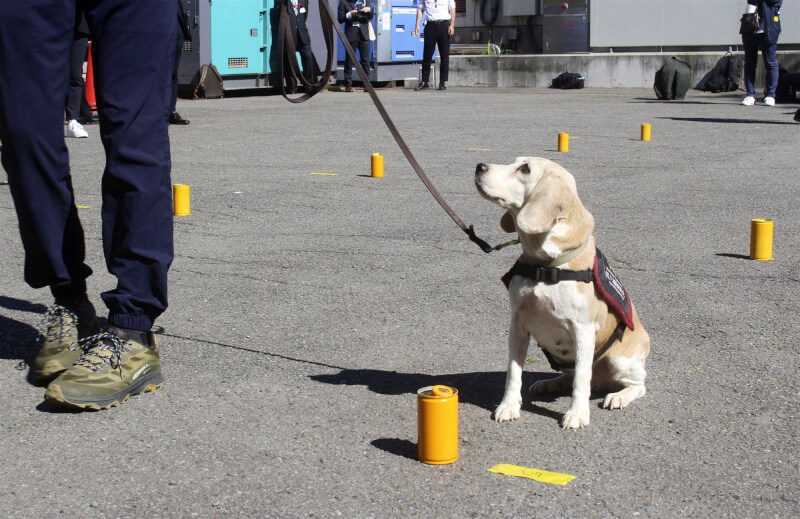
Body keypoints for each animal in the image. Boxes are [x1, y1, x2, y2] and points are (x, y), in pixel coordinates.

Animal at [476, 158, 648, 430]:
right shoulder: (517, 326)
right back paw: (550, 383)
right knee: (571, 376)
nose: (479, 166)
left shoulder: (584, 330)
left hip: (619, 361)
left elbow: (581, 380)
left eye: (525, 168)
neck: (546, 265)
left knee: (637, 385)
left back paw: (619, 396)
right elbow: (513, 372)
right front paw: (509, 406)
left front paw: (577, 413)